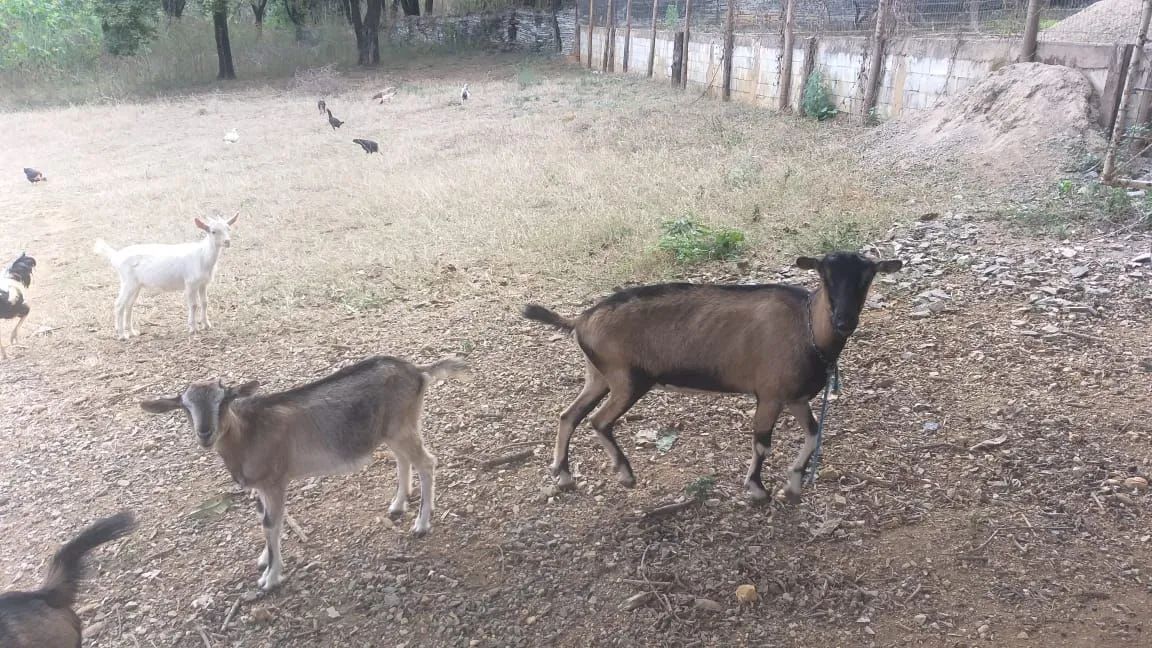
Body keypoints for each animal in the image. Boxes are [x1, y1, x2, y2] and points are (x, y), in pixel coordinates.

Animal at [93, 214, 237, 340]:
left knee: (129, 305)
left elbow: (204, 302)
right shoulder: (190, 283)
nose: (227, 241)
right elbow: (193, 305)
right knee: (119, 304)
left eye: (228, 229)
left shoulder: (203, 283)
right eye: (213, 231)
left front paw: (206, 325)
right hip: (128, 282)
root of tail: (115, 256)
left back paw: (132, 332)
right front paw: (193, 328)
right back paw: (122, 335)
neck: (203, 256)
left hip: (136, 285)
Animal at [140, 355, 469, 590]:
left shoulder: (275, 481)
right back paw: (398, 505)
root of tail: (418, 372)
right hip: (391, 430)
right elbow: (265, 519)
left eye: (224, 400)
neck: (247, 432)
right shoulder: (262, 486)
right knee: (403, 459)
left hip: (402, 427)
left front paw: (271, 579)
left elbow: (270, 524)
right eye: (185, 407)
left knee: (426, 462)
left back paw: (421, 524)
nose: (205, 433)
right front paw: (264, 560)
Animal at [523, 252, 901, 504]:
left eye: (868, 277)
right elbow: (762, 441)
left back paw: (564, 476)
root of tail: (580, 321)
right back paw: (626, 475)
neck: (806, 327)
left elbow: (813, 433)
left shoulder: (795, 398)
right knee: (599, 421)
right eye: (825, 275)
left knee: (569, 415)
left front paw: (793, 485)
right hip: (626, 380)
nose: (844, 320)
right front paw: (757, 489)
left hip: (598, 376)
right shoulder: (770, 395)